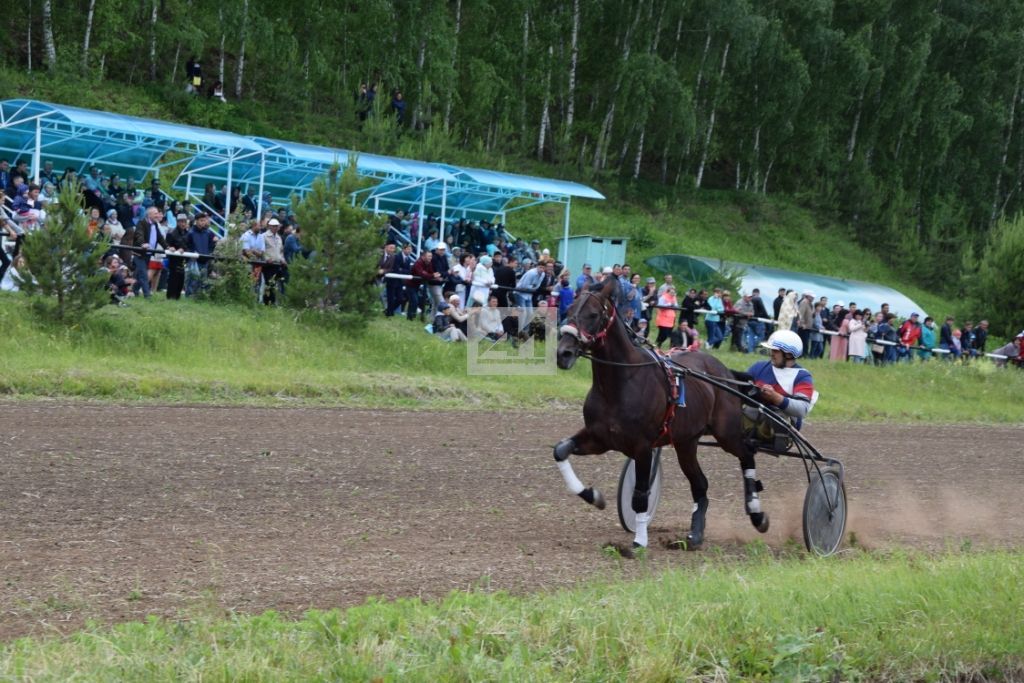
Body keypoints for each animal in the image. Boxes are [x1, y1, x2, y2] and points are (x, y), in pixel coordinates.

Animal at [552, 274, 770, 548]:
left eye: (592, 314)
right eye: (569, 310)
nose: (564, 353)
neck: (620, 382)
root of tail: (725, 372)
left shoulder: (643, 447)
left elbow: (639, 496)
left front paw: (639, 542)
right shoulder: (599, 438)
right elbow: (560, 450)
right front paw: (594, 496)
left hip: (726, 433)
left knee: (747, 455)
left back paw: (757, 515)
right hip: (686, 442)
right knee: (700, 484)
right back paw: (695, 535)